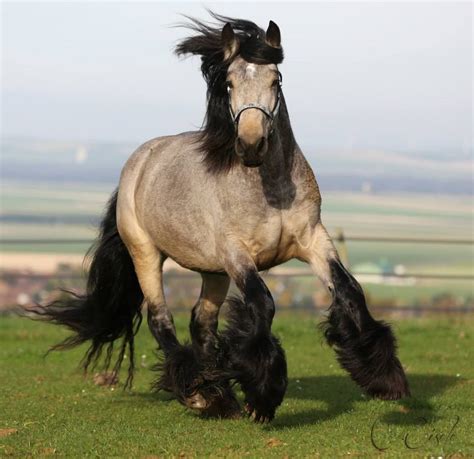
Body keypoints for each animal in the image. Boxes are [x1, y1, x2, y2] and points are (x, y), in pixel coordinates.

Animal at [34, 12, 412, 424]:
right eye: (228, 83)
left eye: (276, 80)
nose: (251, 145)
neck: (272, 188)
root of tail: (139, 161)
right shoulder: (237, 255)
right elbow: (263, 304)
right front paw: (261, 397)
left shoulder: (314, 240)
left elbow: (350, 290)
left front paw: (385, 379)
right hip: (146, 254)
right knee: (160, 319)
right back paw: (201, 394)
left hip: (211, 271)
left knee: (201, 320)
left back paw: (218, 393)